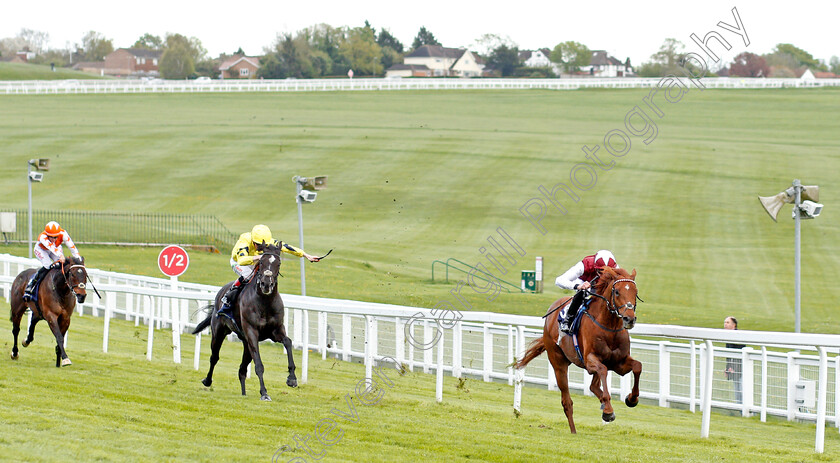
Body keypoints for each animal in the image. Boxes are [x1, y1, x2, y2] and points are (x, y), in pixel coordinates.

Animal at [192, 243, 296, 402]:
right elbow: (259, 365)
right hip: (219, 332)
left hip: (246, 343)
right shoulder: (252, 332)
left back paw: (243, 393)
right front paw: (264, 393)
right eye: (261, 262)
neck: (265, 302)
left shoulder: (276, 331)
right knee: (214, 357)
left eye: (278, 263)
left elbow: (288, 342)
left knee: (241, 369)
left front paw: (292, 378)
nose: (266, 284)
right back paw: (207, 380)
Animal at [512, 266, 644, 434]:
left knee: (593, 385)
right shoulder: (589, 360)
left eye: (635, 291)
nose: (629, 319)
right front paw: (608, 410)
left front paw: (631, 399)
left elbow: (638, 366)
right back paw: (574, 430)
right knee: (567, 401)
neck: (609, 327)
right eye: (617, 292)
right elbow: (602, 370)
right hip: (558, 364)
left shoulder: (619, 363)